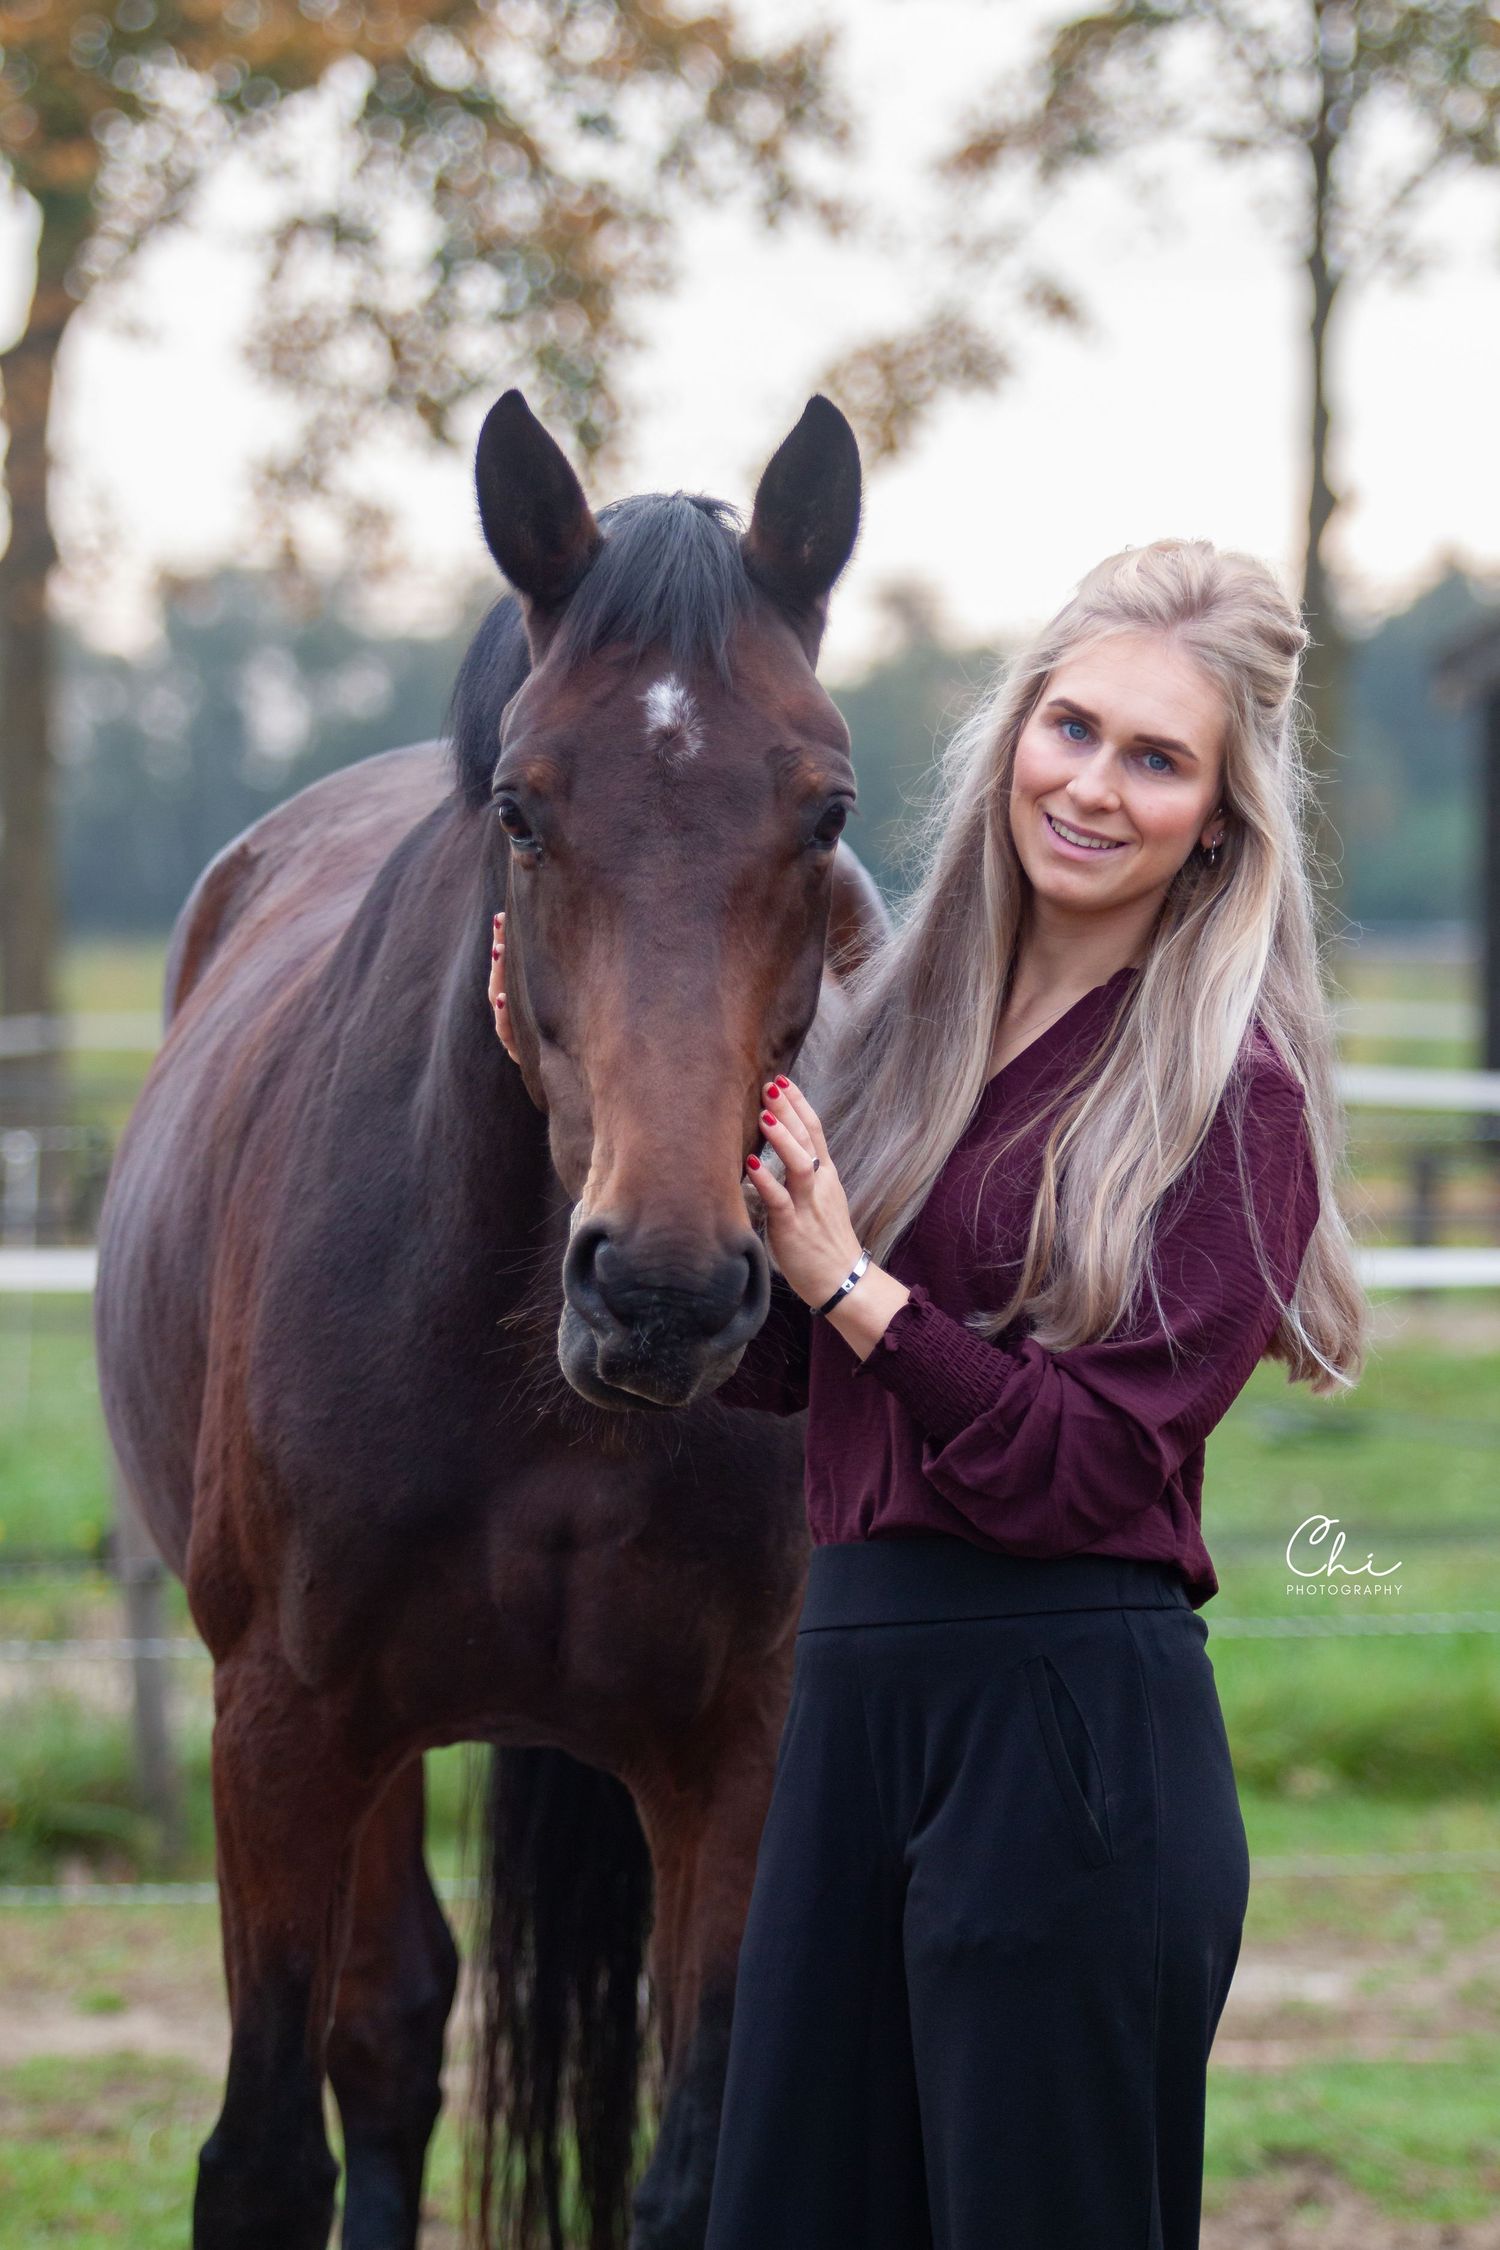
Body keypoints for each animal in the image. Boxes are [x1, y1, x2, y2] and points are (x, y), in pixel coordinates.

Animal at [94, 388, 889, 2250]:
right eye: (524, 810)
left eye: (824, 813)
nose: (664, 1288)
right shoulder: (283, 1724)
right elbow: (268, 2155)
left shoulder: (739, 1748)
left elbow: (697, 2162)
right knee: (388, 2036)